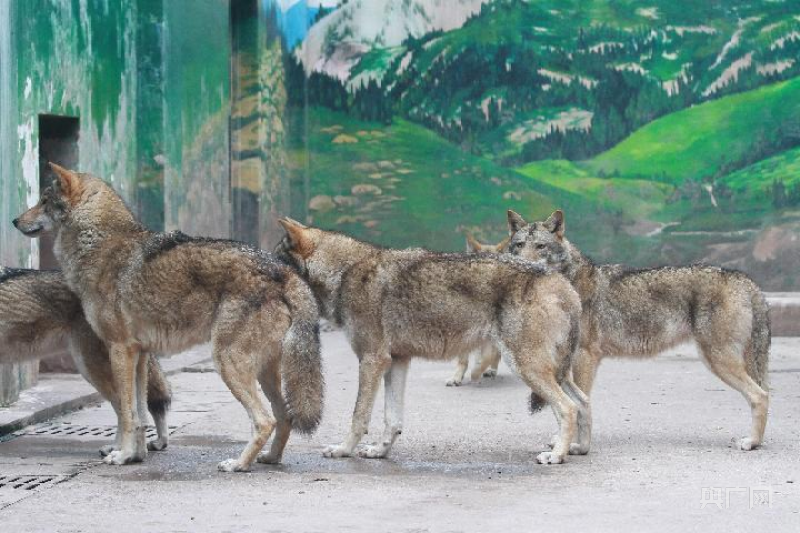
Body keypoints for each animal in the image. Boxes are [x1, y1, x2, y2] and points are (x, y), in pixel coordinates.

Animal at [506, 208, 768, 448]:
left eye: (540, 246)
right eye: (519, 245)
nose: (522, 264)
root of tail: (744, 279)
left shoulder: (585, 357)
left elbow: (580, 402)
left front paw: (576, 445)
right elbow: (562, 404)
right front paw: (561, 440)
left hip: (718, 360)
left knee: (761, 395)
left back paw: (752, 442)